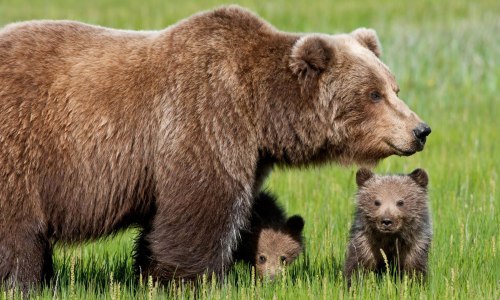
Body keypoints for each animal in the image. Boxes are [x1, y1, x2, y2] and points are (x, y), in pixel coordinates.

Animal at [0, 4, 430, 286]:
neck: (262, 111)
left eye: (394, 87)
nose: (420, 130)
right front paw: (189, 278)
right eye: (373, 94)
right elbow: (202, 207)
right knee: (17, 232)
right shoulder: (205, 116)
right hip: (22, 151)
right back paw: (25, 282)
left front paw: (149, 272)